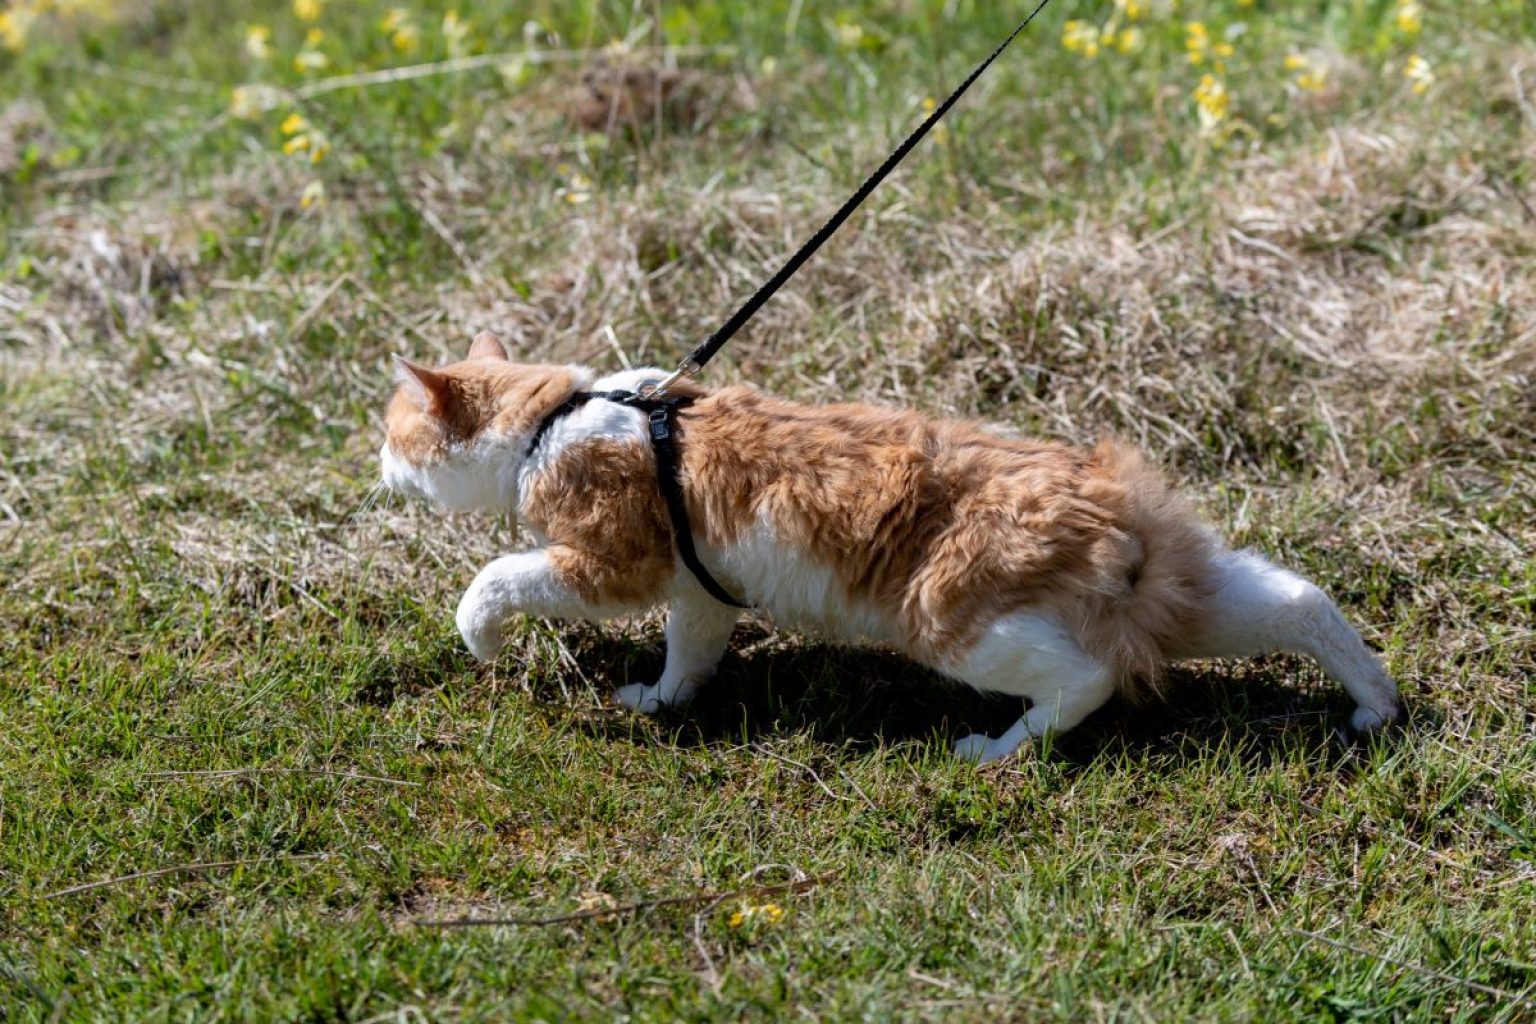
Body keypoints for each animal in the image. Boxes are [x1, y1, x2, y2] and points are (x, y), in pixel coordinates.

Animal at [379, 331, 1402, 762]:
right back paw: (1377, 708)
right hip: (1186, 597)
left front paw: (480, 639)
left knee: (1085, 682)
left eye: (392, 434)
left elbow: (495, 578)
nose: (373, 466)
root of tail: (1109, 493)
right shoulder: (700, 590)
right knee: (1302, 601)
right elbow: (690, 655)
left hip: (957, 622)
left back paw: (996, 752)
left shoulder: (608, 566)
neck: (554, 418)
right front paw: (664, 703)